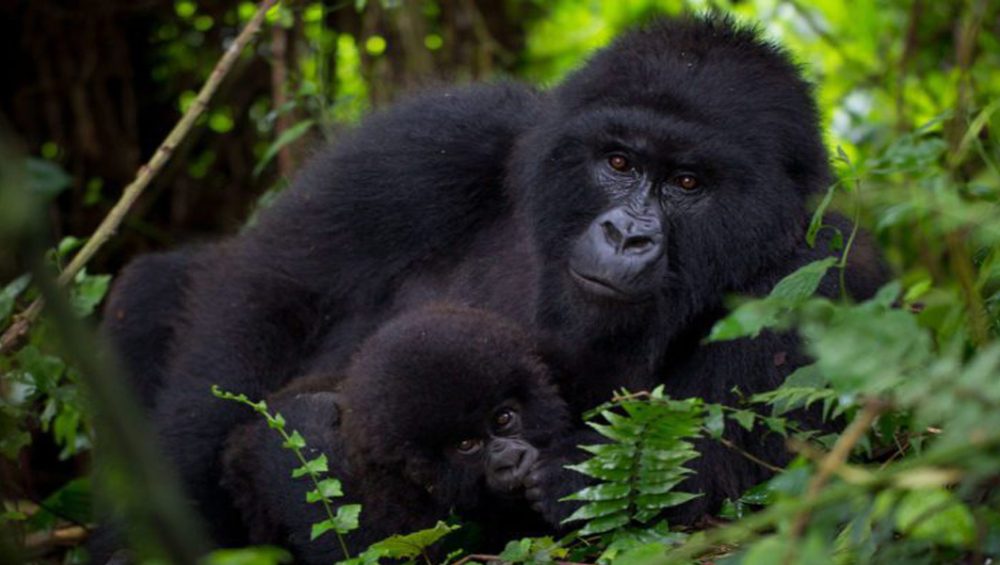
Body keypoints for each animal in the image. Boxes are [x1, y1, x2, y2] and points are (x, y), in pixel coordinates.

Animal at [220, 306, 572, 560]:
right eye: (466, 444)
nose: (509, 458)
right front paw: (304, 426)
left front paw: (563, 480)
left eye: (503, 418)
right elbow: (372, 552)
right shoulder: (398, 494)